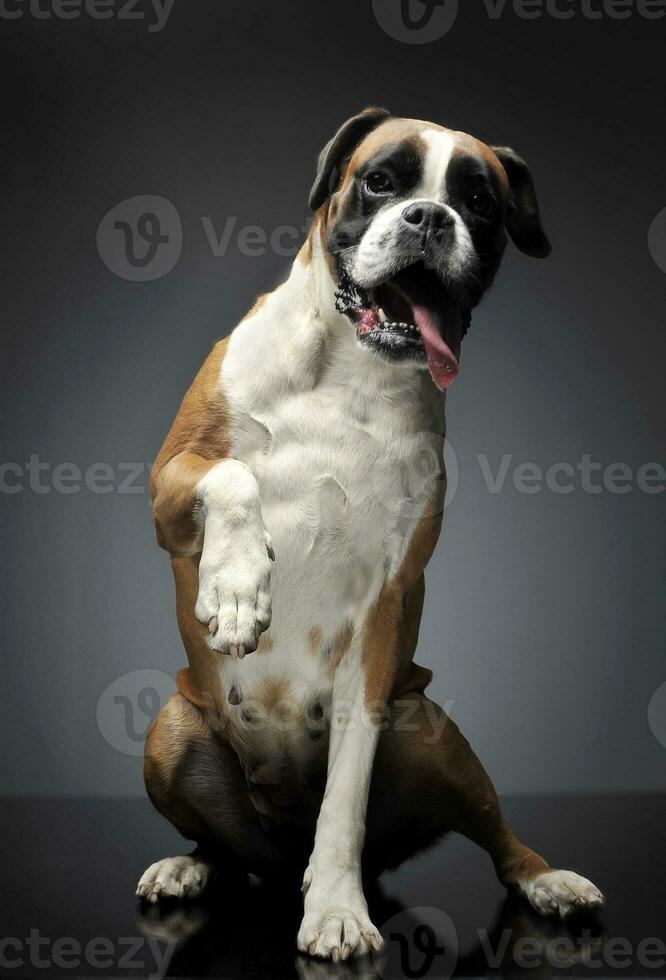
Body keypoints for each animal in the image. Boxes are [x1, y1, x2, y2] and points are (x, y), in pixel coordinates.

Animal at [137, 107, 604, 956]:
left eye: (479, 201)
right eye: (380, 180)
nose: (429, 218)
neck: (346, 369)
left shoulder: (383, 609)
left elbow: (345, 798)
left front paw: (335, 908)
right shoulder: (168, 487)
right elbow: (235, 475)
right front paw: (237, 588)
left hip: (432, 736)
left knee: (498, 836)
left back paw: (547, 879)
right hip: (171, 729)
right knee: (222, 846)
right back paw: (188, 866)